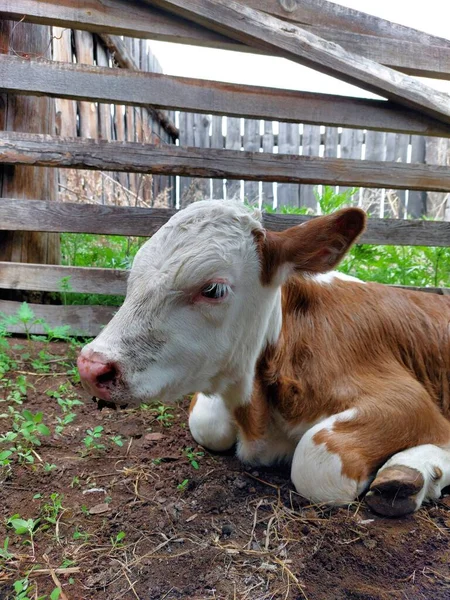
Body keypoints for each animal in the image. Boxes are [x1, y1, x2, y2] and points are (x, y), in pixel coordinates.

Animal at [77, 200, 450, 516]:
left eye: (213, 289)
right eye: (134, 278)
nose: (91, 366)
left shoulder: (410, 399)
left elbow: (314, 460)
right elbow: (207, 424)